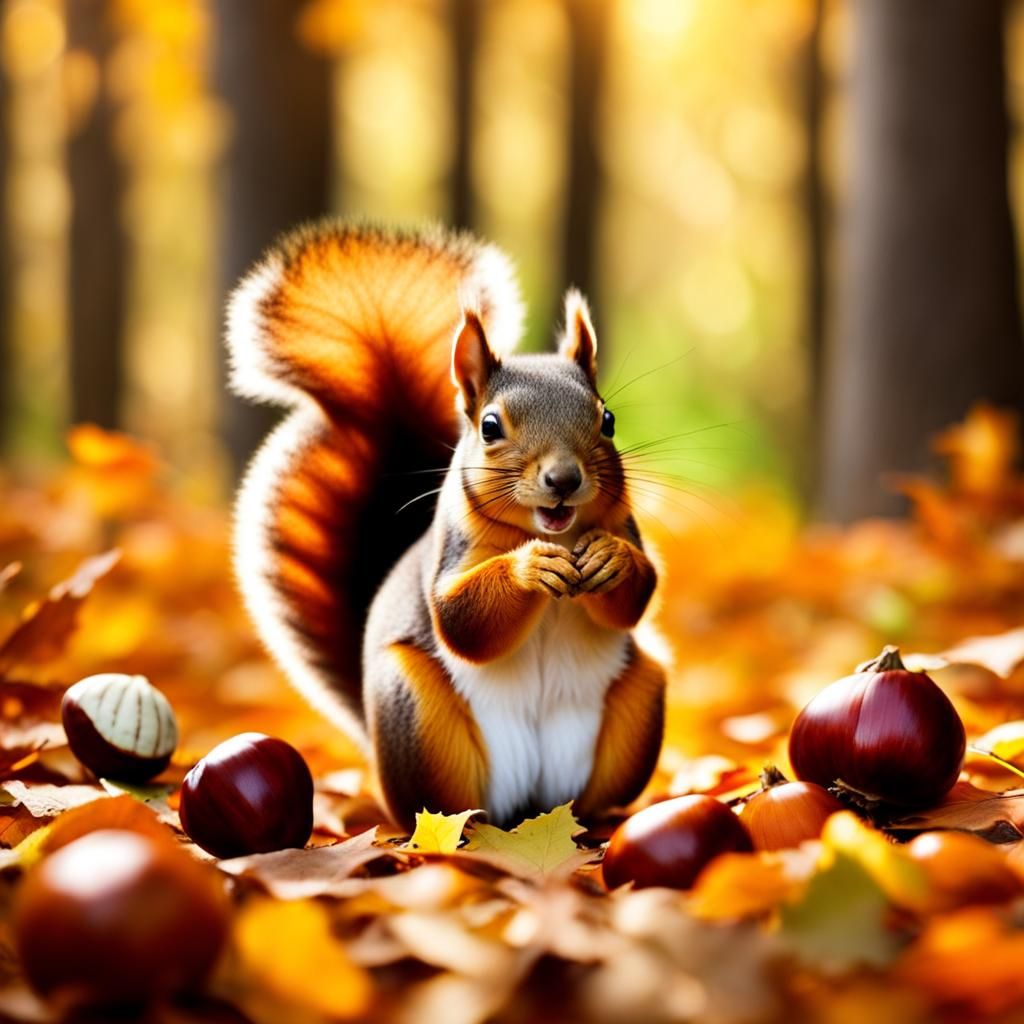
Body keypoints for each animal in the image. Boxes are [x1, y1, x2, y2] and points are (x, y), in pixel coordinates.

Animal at [226, 221, 666, 829]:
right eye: (490, 426)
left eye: (608, 419)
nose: (563, 478)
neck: (553, 531)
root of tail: (529, 805)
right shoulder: (453, 551)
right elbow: (461, 621)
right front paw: (529, 567)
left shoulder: (624, 524)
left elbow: (635, 597)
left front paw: (610, 560)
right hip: (415, 714)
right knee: (446, 806)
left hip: (640, 696)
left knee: (591, 797)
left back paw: (599, 819)